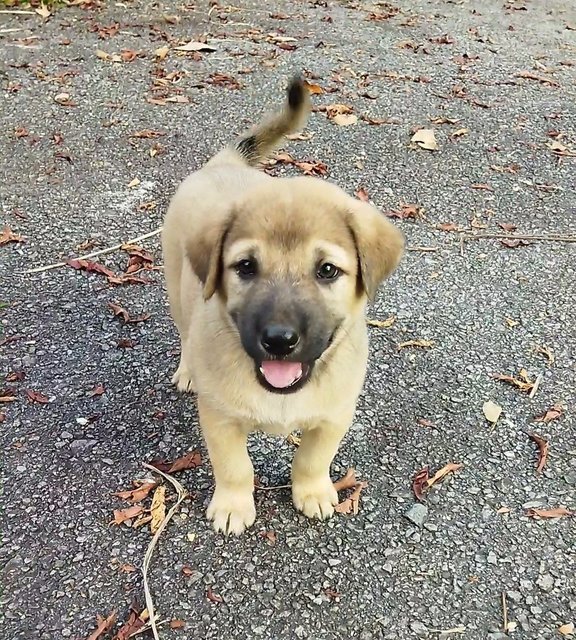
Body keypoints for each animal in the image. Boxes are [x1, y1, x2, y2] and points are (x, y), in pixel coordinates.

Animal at [162, 75, 404, 536]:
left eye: (327, 270)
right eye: (246, 267)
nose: (278, 340)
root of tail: (223, 164)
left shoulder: (334, 416)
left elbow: (312, 460)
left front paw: (312, 492)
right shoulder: (219, 419)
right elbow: (235, 467)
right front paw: (233, 505)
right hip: (175, 286)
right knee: (184, 334)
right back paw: (187, 370)